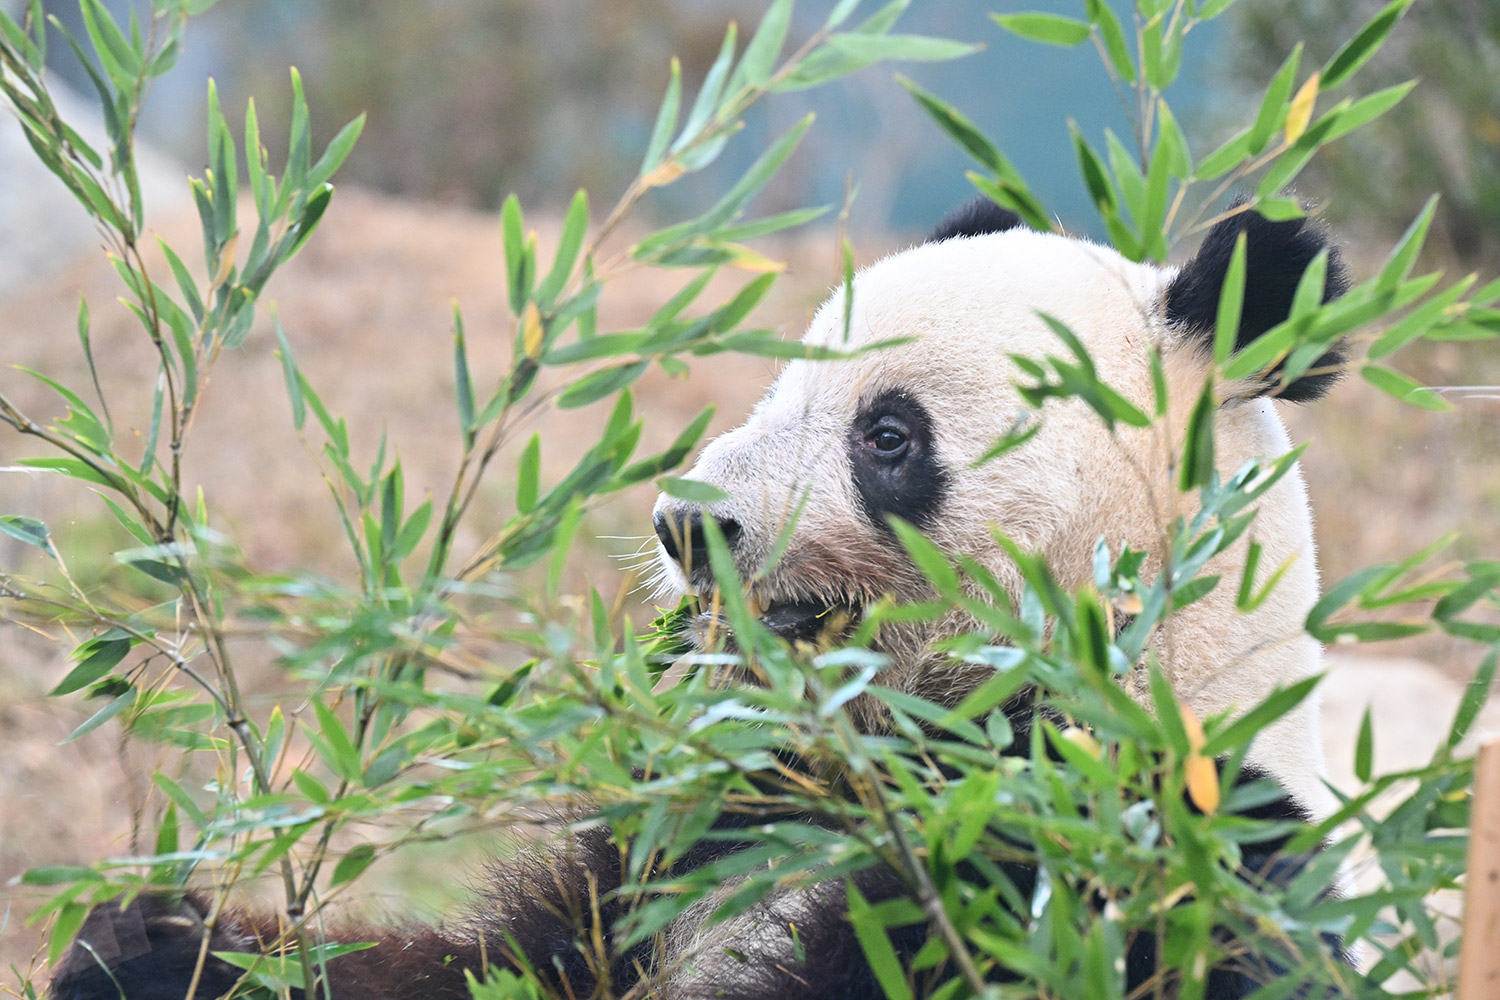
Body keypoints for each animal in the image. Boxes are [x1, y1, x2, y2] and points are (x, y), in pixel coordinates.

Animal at [49, 200, 1350, 1000]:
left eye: (887, 433)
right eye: (775, 390)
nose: (691, 526)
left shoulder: (1130, 835)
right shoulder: (697, 813)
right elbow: (501, 961)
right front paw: (151, 944)